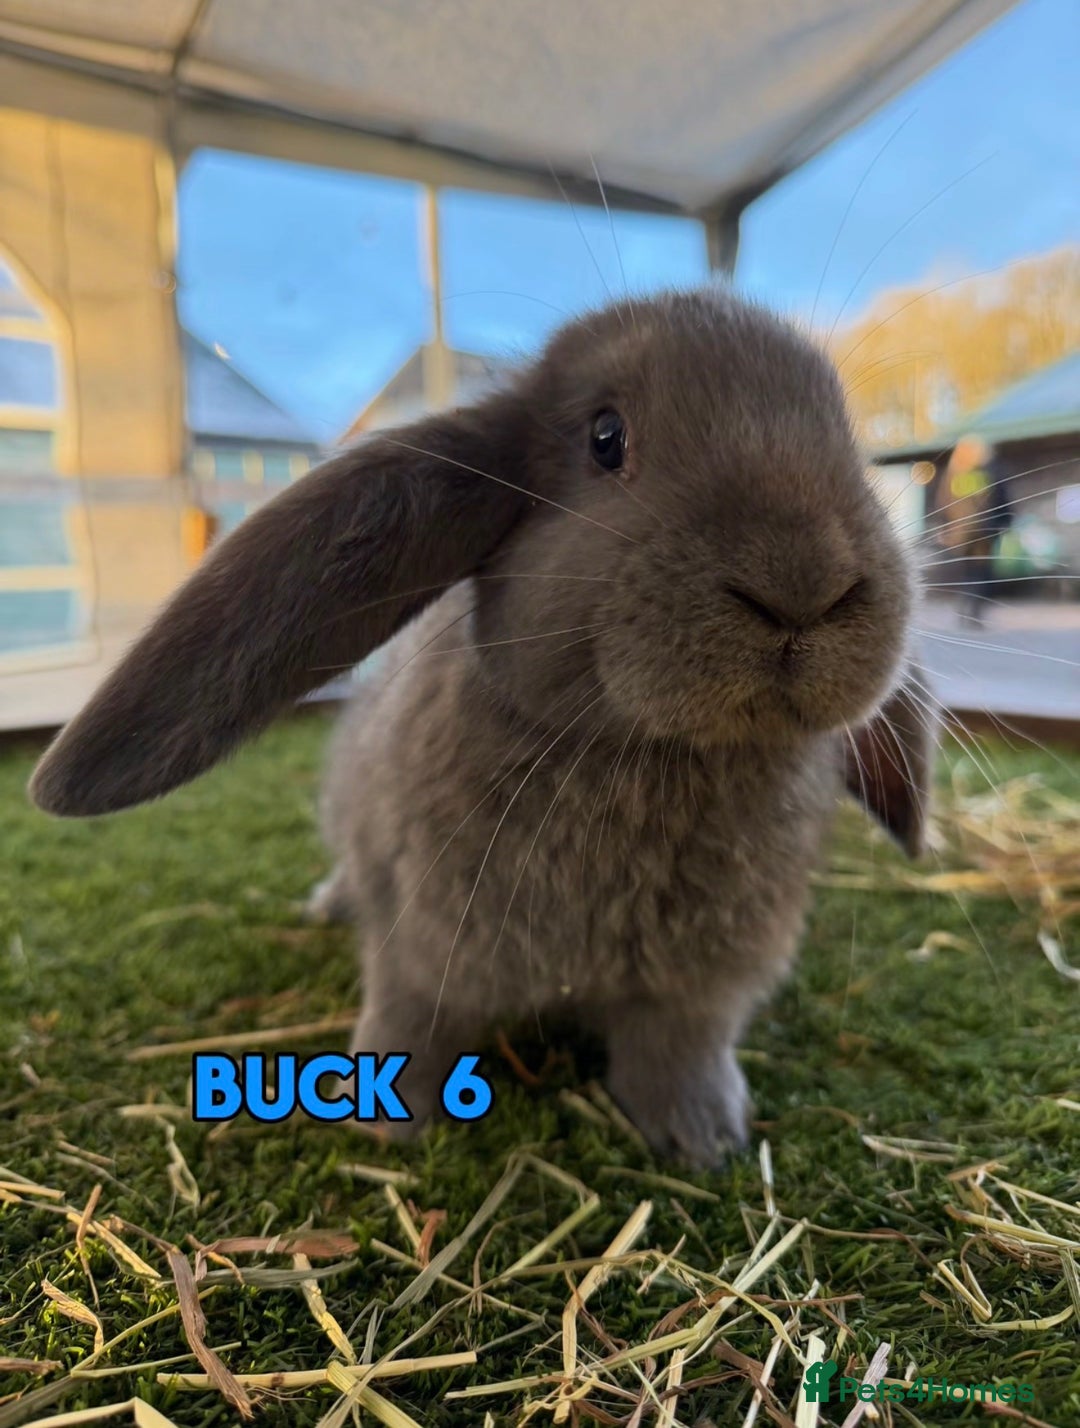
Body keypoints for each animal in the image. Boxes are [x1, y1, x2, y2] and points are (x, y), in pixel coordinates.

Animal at [29, 286, 934, 1168]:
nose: (803, 583)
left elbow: (677, 1051)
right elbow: (408, 1025)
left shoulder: (699, 991)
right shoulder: (418, 949)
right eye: (606, 438)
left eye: (846, 437)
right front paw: (386, 1127)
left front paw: (704, 1140)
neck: (650, 756)